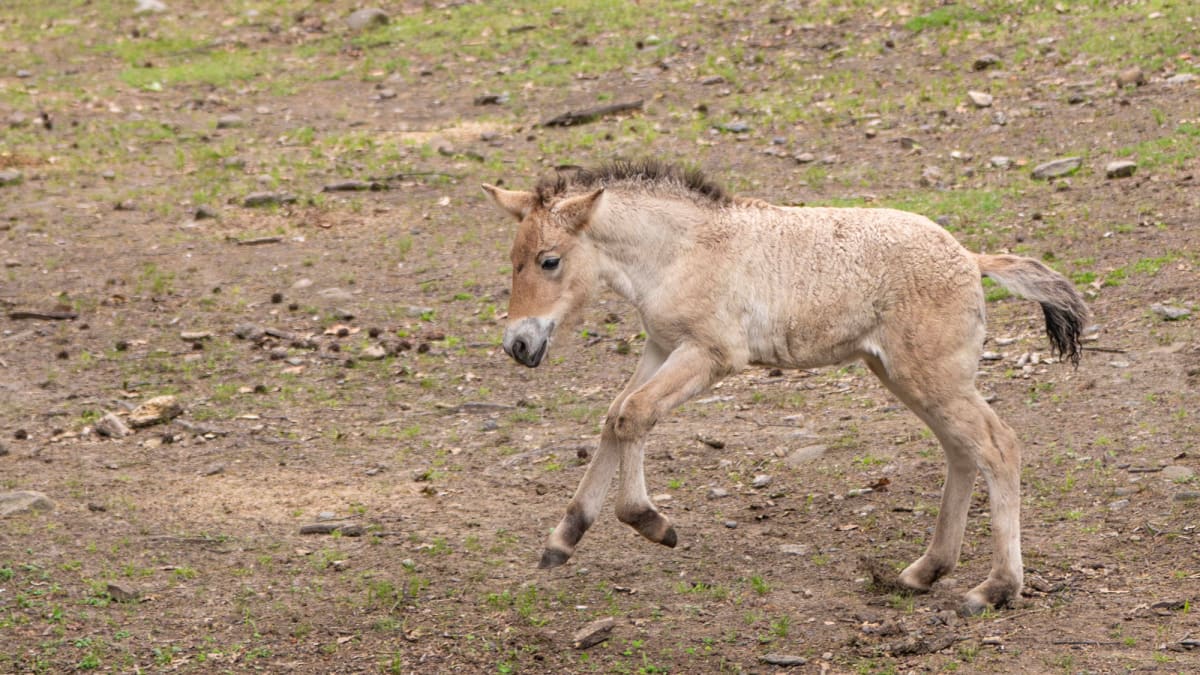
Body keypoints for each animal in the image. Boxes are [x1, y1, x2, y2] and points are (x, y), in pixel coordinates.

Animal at [483, 160, 1088, 614]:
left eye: (549, 260)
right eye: (511, 261)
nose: (518, 344)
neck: (683, 250)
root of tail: (970, 257)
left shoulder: (710, 354)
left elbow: (634, 414)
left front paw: (652, 523)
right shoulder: (660, 345)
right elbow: (617, 415)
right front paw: (564, 539)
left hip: (931, 377)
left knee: (998, 446)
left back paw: (995, 588)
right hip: (904, 375)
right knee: (962, 453)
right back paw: (924, 571)